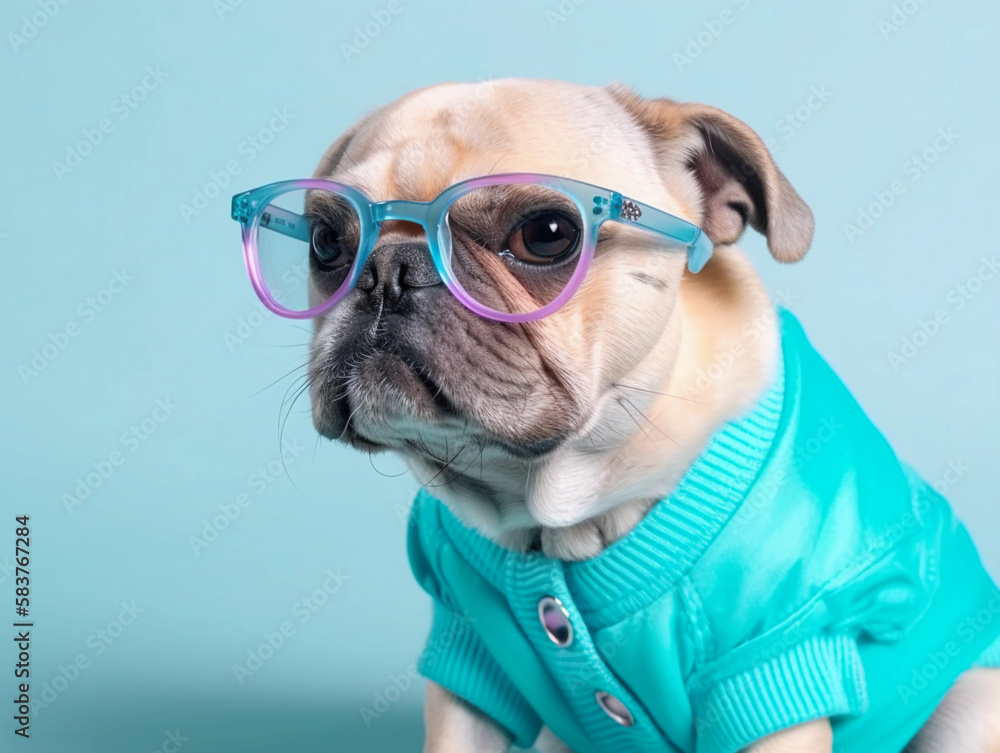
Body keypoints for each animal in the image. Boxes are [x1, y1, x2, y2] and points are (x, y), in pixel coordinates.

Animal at [286, 81, 996, 752]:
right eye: (325, 243)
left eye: (545, 235)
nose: (388, 269)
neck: (563, 517)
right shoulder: (469, 658)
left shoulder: (774, 661)